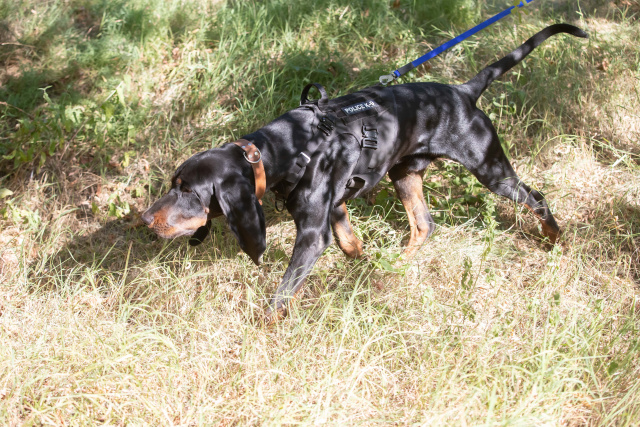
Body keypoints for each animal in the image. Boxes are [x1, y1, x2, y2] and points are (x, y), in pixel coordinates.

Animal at [142, 24, 588, 320]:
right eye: (174, 184)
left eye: (189, 192)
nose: (145, 218)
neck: (285, 149)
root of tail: (463, 92)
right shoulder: (335, 207)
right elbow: (350, 244)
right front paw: (363, 271)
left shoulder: (312, 232)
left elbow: (284, 291)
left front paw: (266, 326)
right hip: (404, 174)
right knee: (424, 224)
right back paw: (397, 267)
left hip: (490, 169)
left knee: (536, 198)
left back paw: (556, 241)